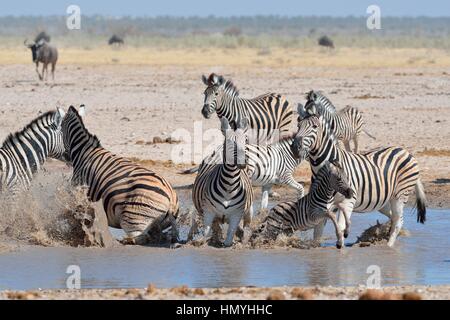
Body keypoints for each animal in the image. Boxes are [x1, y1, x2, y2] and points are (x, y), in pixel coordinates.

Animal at [61, 105, 179, 245]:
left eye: (60, 130)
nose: (65, 157)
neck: (83, 151)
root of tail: (171, 196)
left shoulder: (80, 191)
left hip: (133, 220)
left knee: (140, 238)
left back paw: (121, 241)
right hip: (159, 223)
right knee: (157, 236)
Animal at [192, 117, 253, 248]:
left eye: (245, 140)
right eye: (230, 142)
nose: (242, 163)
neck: (229, 184)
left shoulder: (236, 213)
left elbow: (230, 236)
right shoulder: (208, 211)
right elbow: (206, 231)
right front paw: (202, 241)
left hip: (249, 210)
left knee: (247, 225)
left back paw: (244, 237)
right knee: (216, 226)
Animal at [290, 115, 428, 248]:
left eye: (315, 126)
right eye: (298, 126)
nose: (295, 147)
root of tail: (406, 151)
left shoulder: (348, 202)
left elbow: (341, 228)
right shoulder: (321, 205)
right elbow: (317, 233)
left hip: (400, 195)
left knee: (398, 220)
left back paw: (388, 246)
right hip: (383, 201)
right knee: (395, 218)